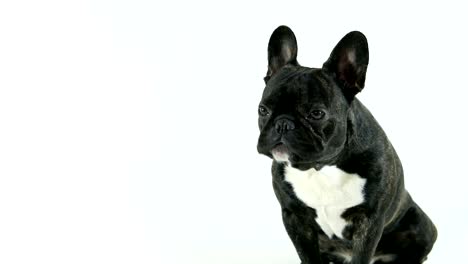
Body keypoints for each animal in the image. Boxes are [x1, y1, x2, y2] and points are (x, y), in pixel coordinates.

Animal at [258, 25, 436, 264]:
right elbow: (308, 255)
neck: (321, 168)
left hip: (421, 225)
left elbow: (361, 255)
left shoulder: (368, 221)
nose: (283, 124)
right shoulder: (295, 218)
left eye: (316, 113)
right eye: (263, 110)